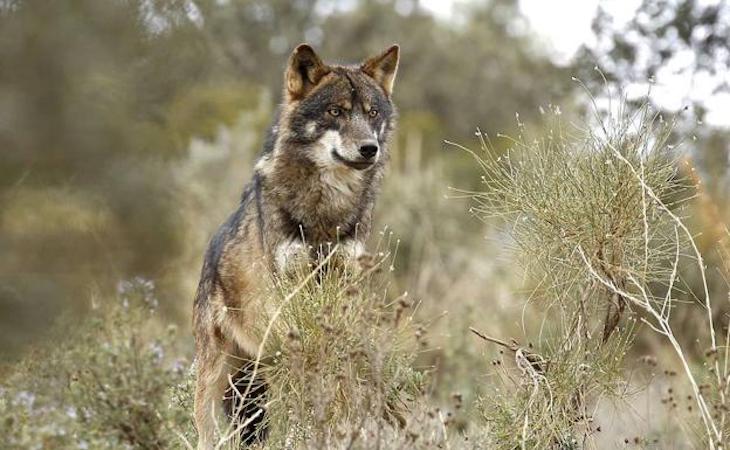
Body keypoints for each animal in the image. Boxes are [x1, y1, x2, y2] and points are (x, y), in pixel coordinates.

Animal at [192, 43, 400, 449]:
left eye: (372, 113)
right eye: (336, 111)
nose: (369, 149)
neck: (326, 210)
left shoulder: (344, 282)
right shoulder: (288, 290)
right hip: (217, 375)